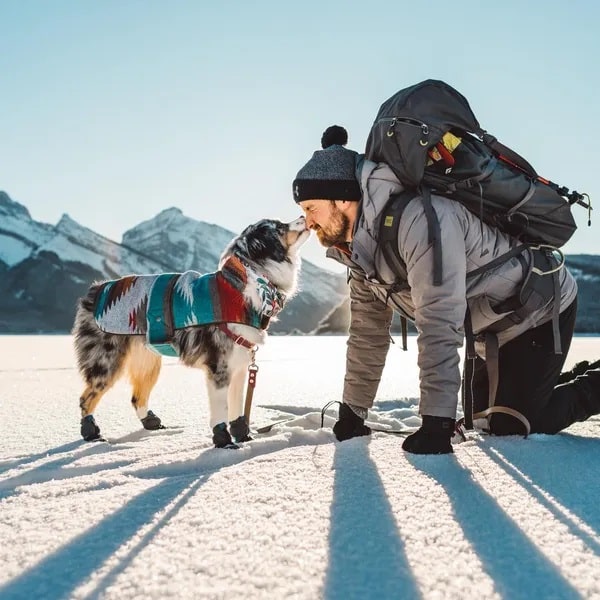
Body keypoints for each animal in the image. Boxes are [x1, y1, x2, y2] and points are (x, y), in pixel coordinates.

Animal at [71, 216, 310, 446]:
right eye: (278, 227)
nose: (302, 215)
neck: (244, 282)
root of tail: (96, 290)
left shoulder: (240, 364)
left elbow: (237, 408)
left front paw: (243, 438)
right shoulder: (219, 367)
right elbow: (221, 409)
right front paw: (224, 442)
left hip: (148, 362)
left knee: (137, 397)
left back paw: (151, 423)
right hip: (107, 361)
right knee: (86, 398)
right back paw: (92, 433)